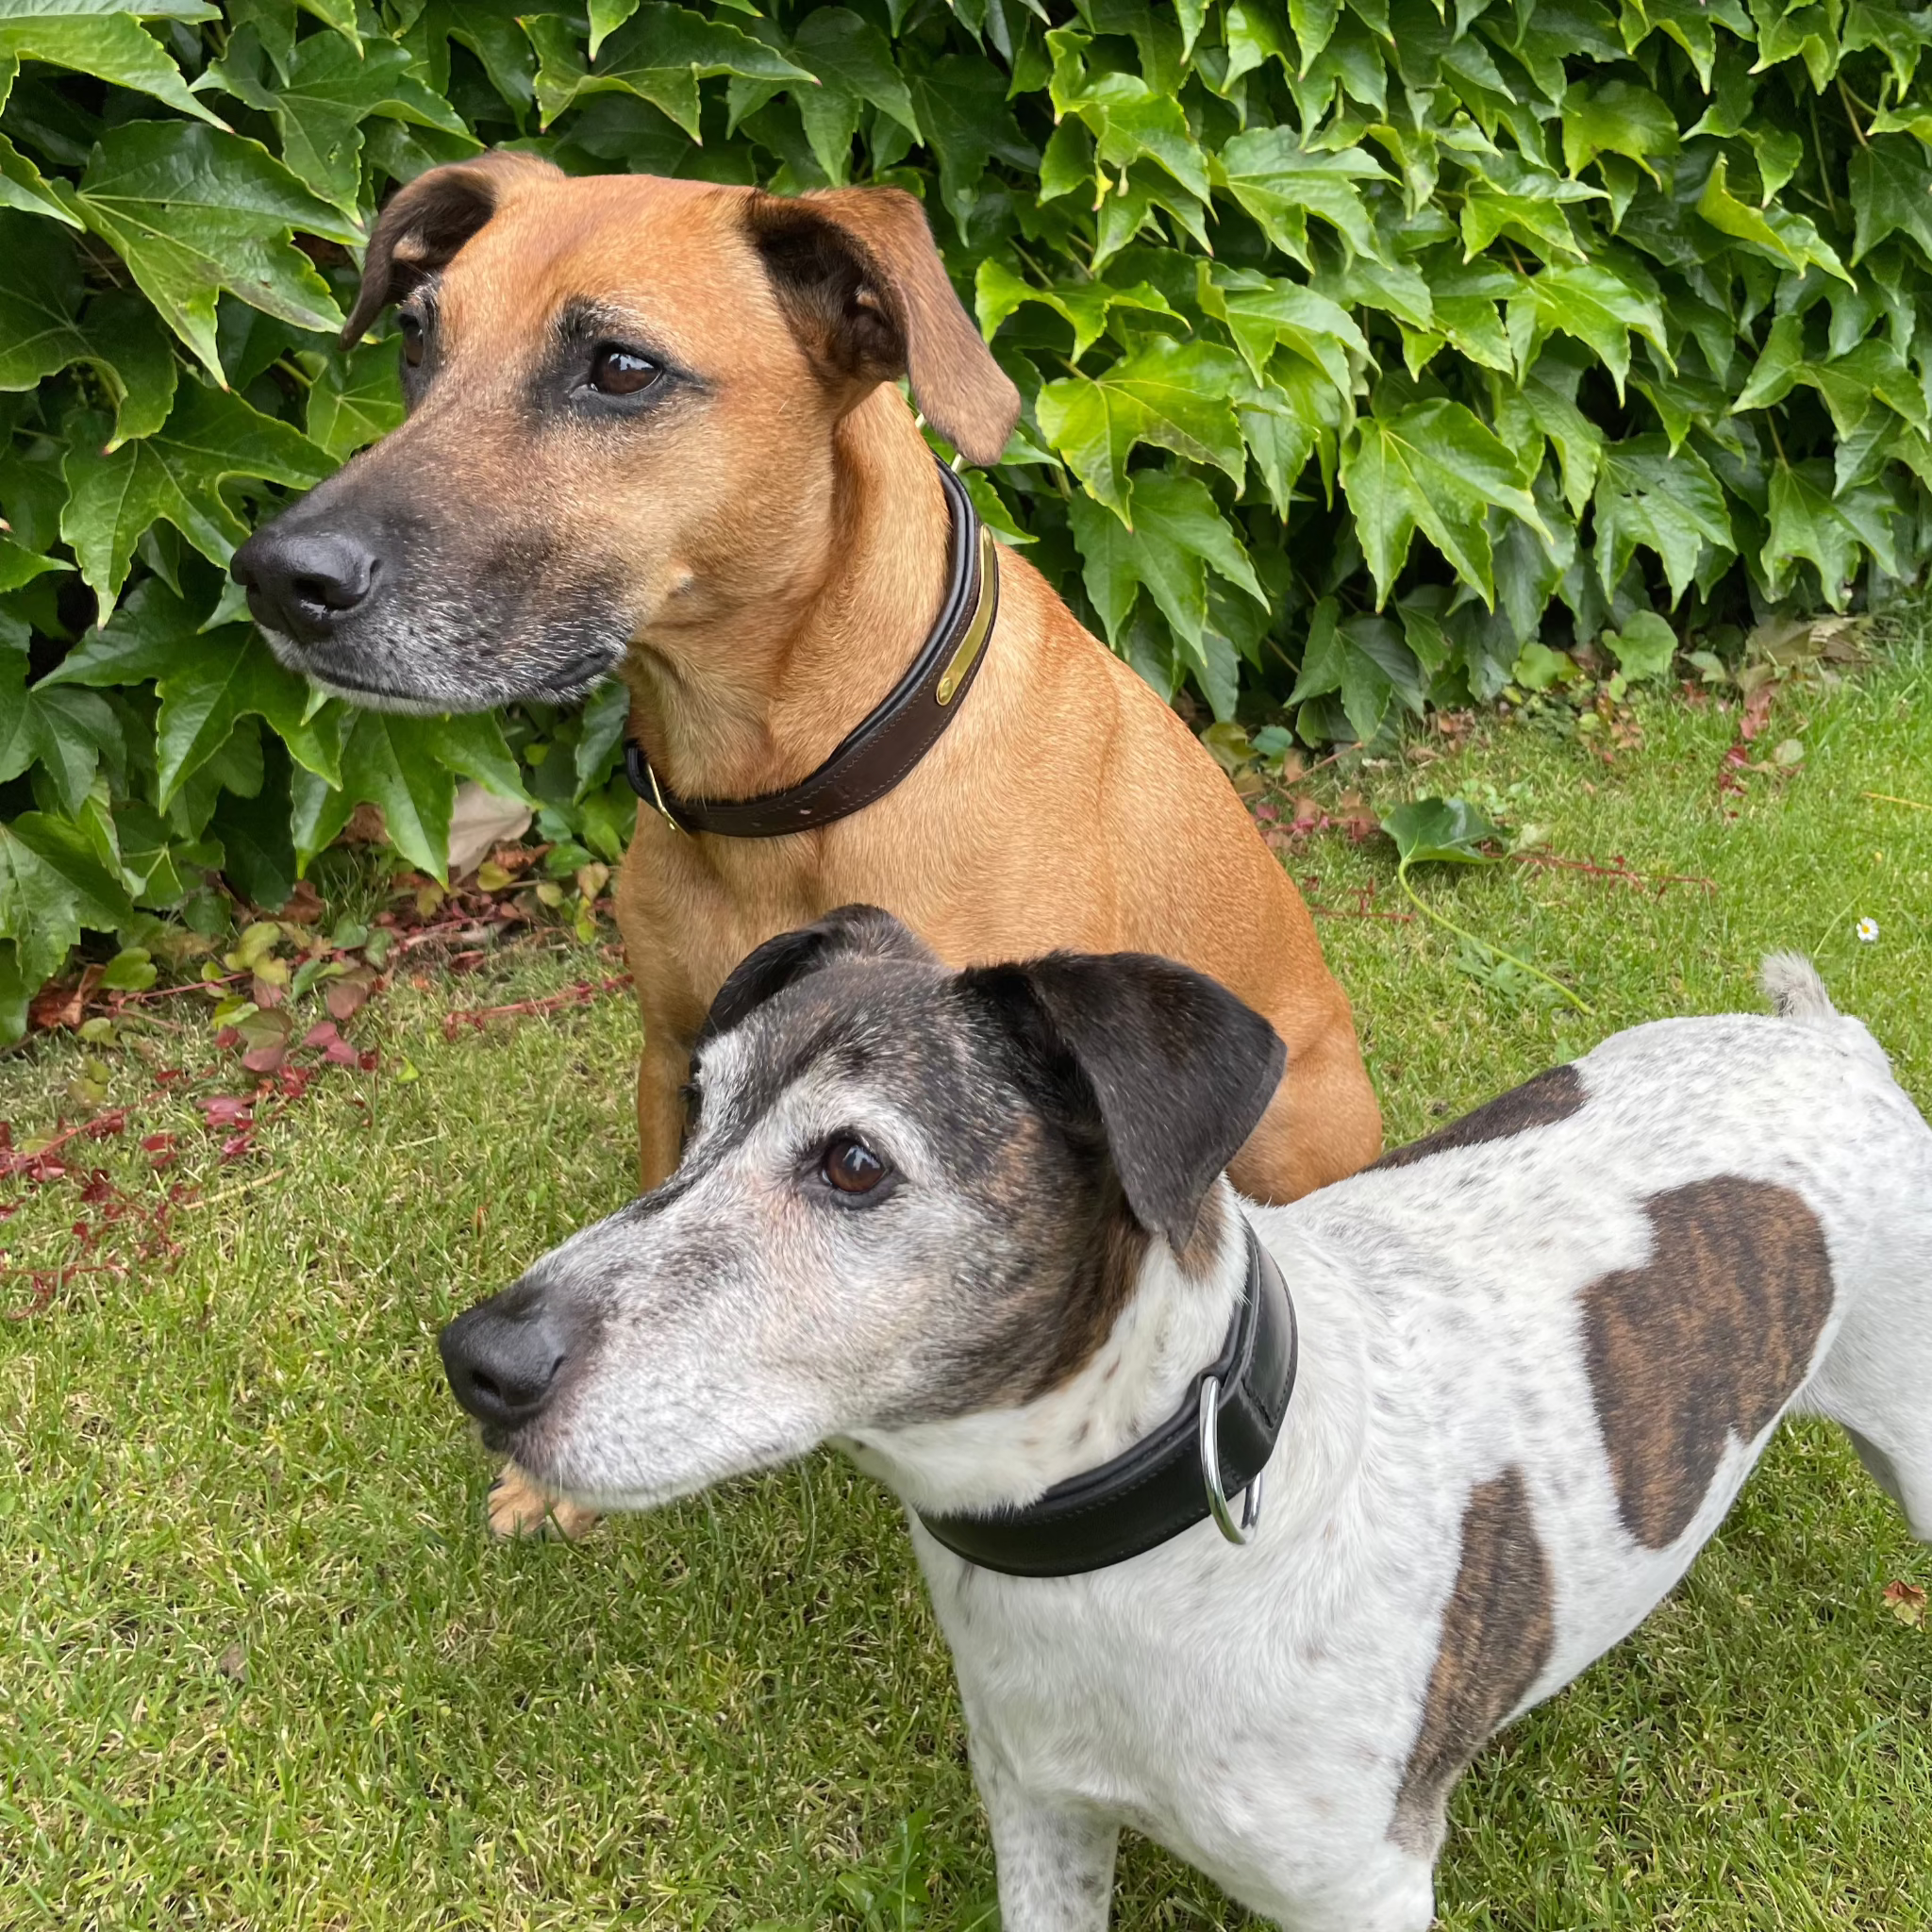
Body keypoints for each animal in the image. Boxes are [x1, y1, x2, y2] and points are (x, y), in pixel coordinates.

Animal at [441, 911, 1932, 1932]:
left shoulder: (1364, 1893)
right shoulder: (1039, 1815)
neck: (1137, 1537)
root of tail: (1827, 1037)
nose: (479, 1359)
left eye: (854, 1163)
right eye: (695, 1108)